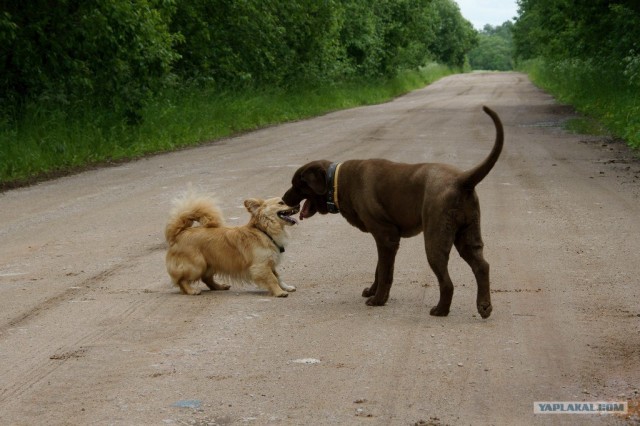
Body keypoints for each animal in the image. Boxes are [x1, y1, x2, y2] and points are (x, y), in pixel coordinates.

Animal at [164, 192, 298, 296]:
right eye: (281, 203)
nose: (298, 204)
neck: (264, 231)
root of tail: (180, 232)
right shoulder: (261, 266)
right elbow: (272, 279)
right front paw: (279, 292)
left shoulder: (270, 264)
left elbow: (278, 277)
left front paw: (286, 287)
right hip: (197, 265)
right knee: (181, 280)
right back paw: (191, 291)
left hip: (210, 264)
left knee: (206, 278)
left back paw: (219, 287)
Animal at [282, 106, 502, 320]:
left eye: (297, 184)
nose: (283, 198)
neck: (337, 182)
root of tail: (462, 180)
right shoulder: (384, 239)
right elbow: (379, 269)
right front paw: (372, 291)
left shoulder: (386, 236)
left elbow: (385, 272)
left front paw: (378, 299)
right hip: (468, 236)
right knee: (482, 266)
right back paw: (484, 306)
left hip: (435, 240)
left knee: (447, 282)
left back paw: (440, 310)